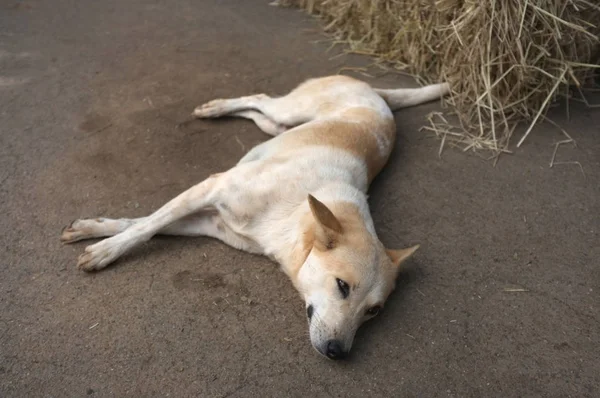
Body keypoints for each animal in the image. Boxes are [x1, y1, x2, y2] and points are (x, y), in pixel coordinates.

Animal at [61, 75, 448, 360]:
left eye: (374, 311)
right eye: (342, 286)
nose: (338, 353)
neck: (296, 221)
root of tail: (374, 92)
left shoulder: (210, 223)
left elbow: (148, 223)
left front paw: (94, 232)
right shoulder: (211, 189)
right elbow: (146, 225)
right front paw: (104, 248)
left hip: (281, 126)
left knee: (263, 115)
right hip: (293, 110)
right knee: (262, 98)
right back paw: (216, 108)